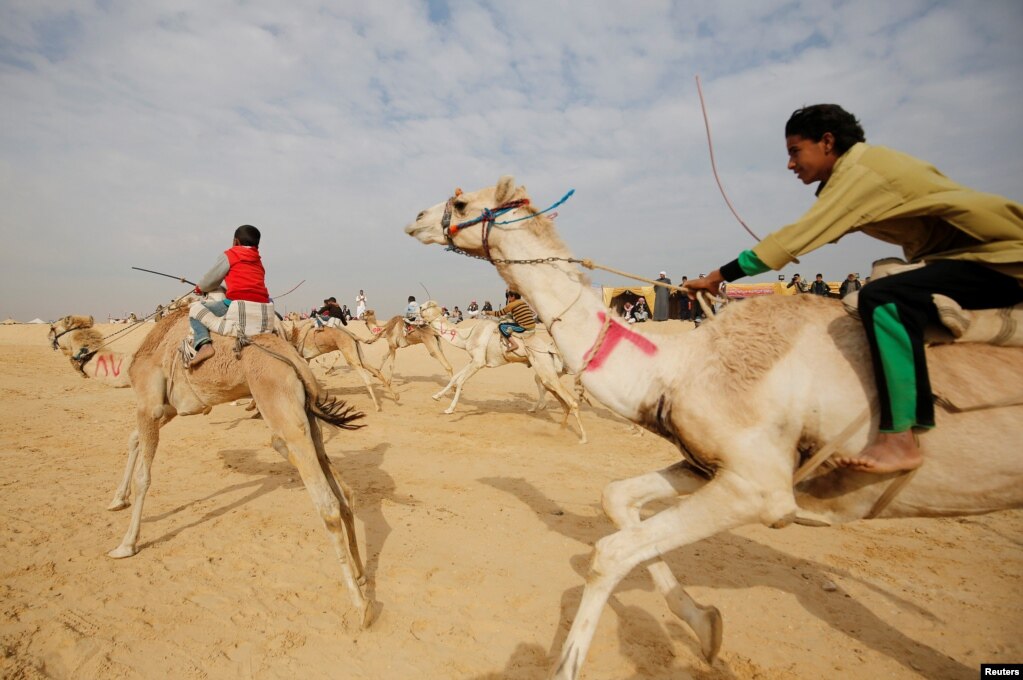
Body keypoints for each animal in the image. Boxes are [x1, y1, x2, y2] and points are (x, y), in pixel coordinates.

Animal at [419, 300, 589, 443]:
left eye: (427, 306)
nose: (418, 309)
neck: (468, 335)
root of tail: (549, 348)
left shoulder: (479, 362)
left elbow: (460, 381)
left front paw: (450, 409)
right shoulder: (473, 360)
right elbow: (455, 377)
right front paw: (437, 396)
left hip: (544, 365)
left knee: (571, 401)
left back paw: (583, 438)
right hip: (545, 370)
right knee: (557, 395)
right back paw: (559, 428)